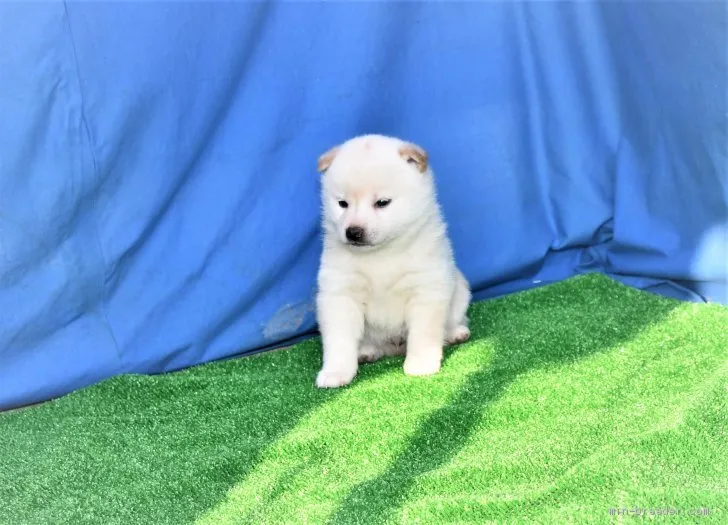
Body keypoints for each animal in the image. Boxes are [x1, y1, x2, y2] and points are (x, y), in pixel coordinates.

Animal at [312, 134, 472, 388]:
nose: (353, 232)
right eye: (342, 204)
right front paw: (335, 373)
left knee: (451, 322)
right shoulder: (340, 294)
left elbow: (424, 333)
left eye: (382, 202)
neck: (381, 254)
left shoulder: (426, 289)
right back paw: (366, 351)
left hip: (461, 291)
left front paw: (421, 364)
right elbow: (339, 342)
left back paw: (456, 333)